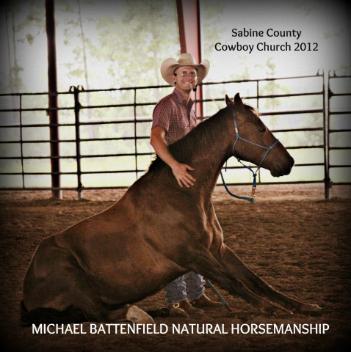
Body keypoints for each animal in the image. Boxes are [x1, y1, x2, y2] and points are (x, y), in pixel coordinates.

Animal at [21, 92, 322, 324]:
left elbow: (257, 281)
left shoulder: (218, 249)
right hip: (73, 277)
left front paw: (305, 306)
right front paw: (273, 310)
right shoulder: (195, 256)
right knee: (100, 313)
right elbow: (235, 284)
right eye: (258, 126)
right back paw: (142, 314)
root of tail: (27, 291)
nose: (289, 162)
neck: (181, 194)